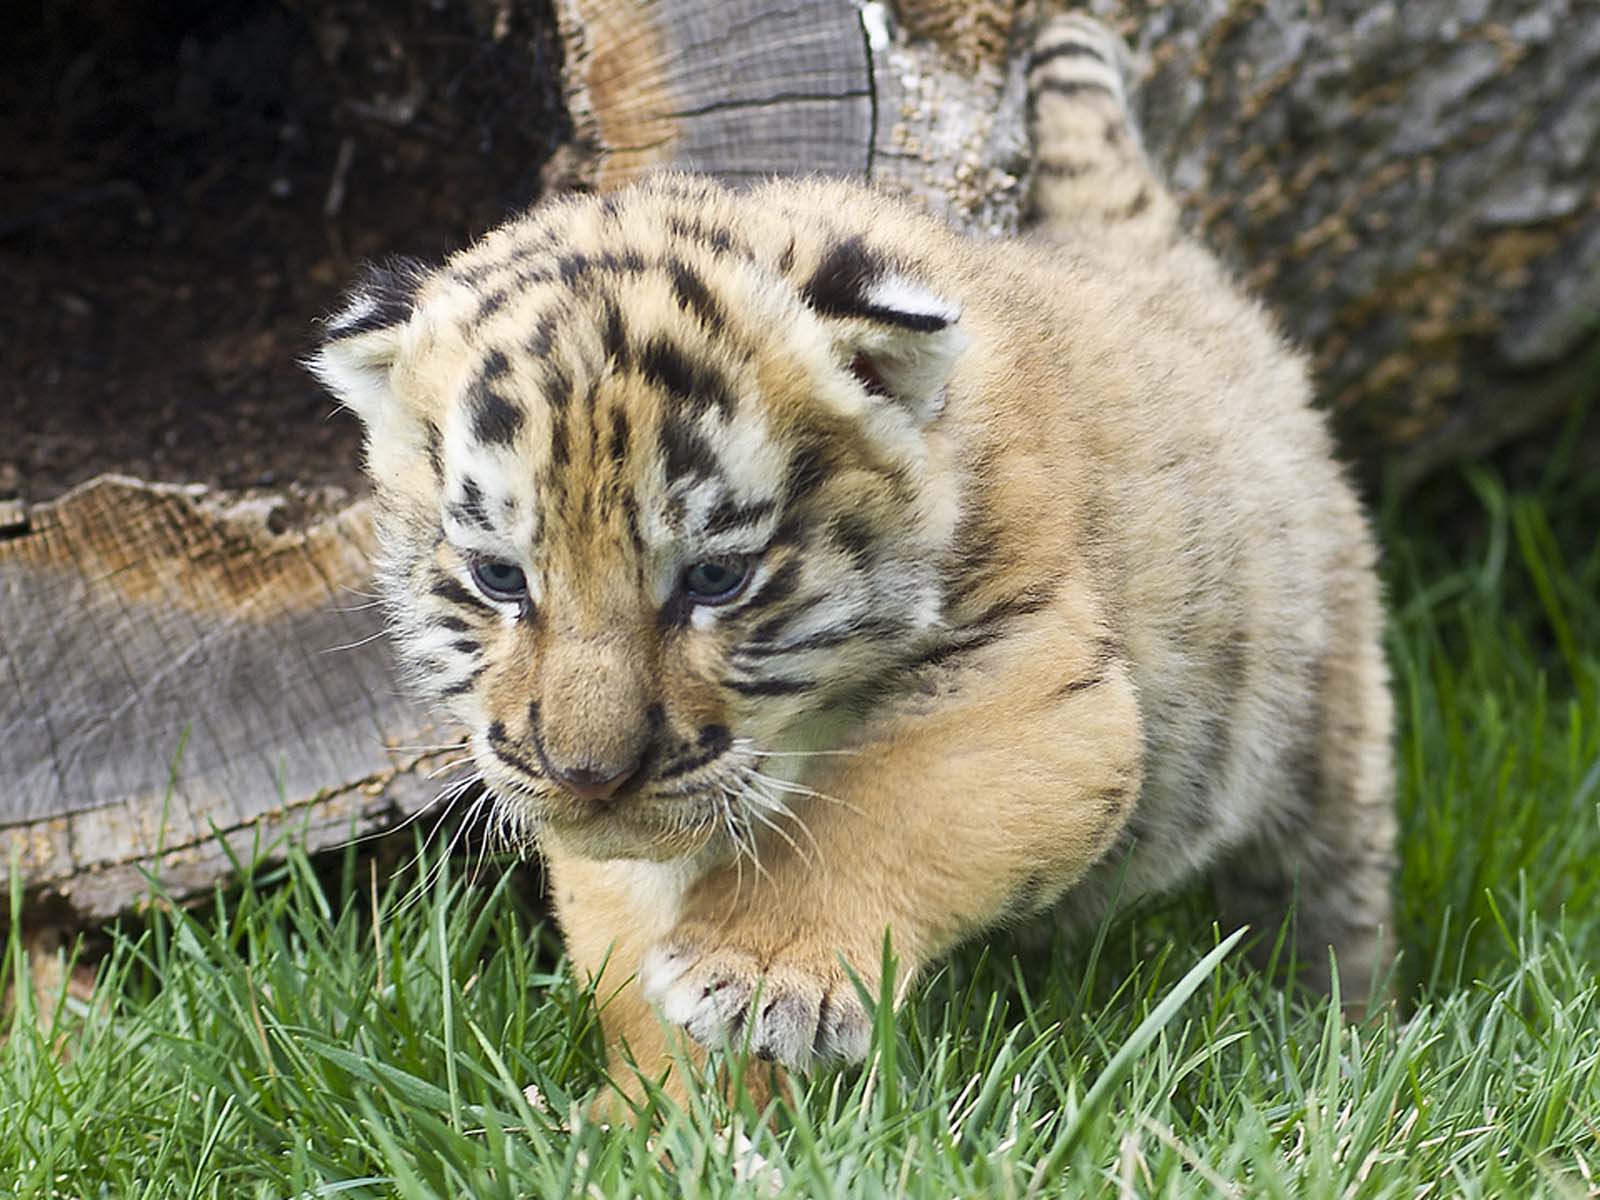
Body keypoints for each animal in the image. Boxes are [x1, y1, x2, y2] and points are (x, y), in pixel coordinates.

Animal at [310, 13, 1396, 1112]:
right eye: (501, 579)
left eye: (714, 580)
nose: (588, 777)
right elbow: (630, 936)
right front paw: (659, 1114)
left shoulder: (1038, 676)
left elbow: (883, 806)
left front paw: (757, 973)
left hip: (1324, 708)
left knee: (1333, 887)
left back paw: (1338, 1037)